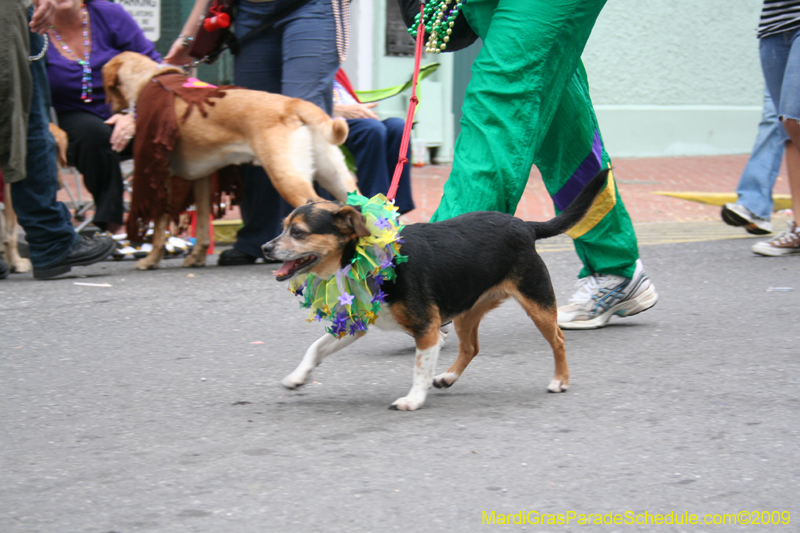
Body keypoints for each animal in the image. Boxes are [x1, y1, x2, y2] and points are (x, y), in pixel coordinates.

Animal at [101, 52, 356, 270]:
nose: (108, 111)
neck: (151, 79)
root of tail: (293, 103)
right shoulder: (202, 179)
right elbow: (202, 225)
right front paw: (197, 257)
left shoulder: (163, 176)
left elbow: (159, 226)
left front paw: (151, 259)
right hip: (335, 177)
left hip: (288, 179)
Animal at [266, 168, 608, 410]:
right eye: (282, 227)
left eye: (298, 233)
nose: (265, 248)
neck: (364, 257)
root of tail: (525, 225)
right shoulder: (354, 324)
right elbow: (315, 348)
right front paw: (298, 377)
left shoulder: (427, 331)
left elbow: (419, 370)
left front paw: (413, 399)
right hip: (467, 311)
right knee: (471, 348)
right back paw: (447, 377)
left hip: (537, 302)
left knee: (558, 340)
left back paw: (560, 380)